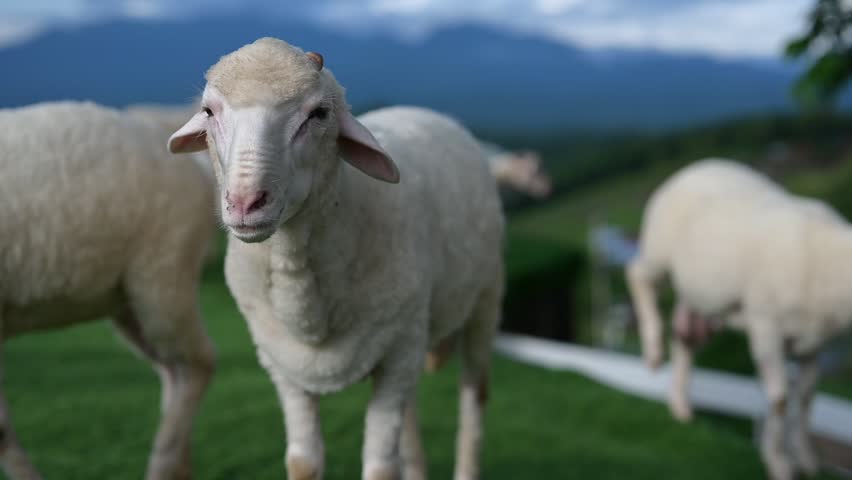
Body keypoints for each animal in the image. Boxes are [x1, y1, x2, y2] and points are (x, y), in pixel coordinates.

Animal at [0, 101, 217, 480]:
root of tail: (198, 169)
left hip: (162, 273)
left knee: (199, 364)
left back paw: (162, 463)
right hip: (129, 300)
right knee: (172, 370)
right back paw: (179, 463)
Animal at [168, 37, 505, 480]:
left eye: (318, 113)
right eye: (209, 111)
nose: (245, 202)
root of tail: (428, 112)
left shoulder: (397, 355)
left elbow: (380, 468)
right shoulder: (283, 367)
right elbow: (303, 462)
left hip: (483, 298)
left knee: (475, 397)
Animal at [625, 158, 852, 480]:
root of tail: (697, 166)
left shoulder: (812, 344)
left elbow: (807, 398)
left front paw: (806, 459)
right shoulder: (765, 325)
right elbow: (780, 399)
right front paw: (779, 464)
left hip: (700, 293)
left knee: (684, 336)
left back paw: (681, 407)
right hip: (658, 248)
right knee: (637, 276)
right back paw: (653, 351)